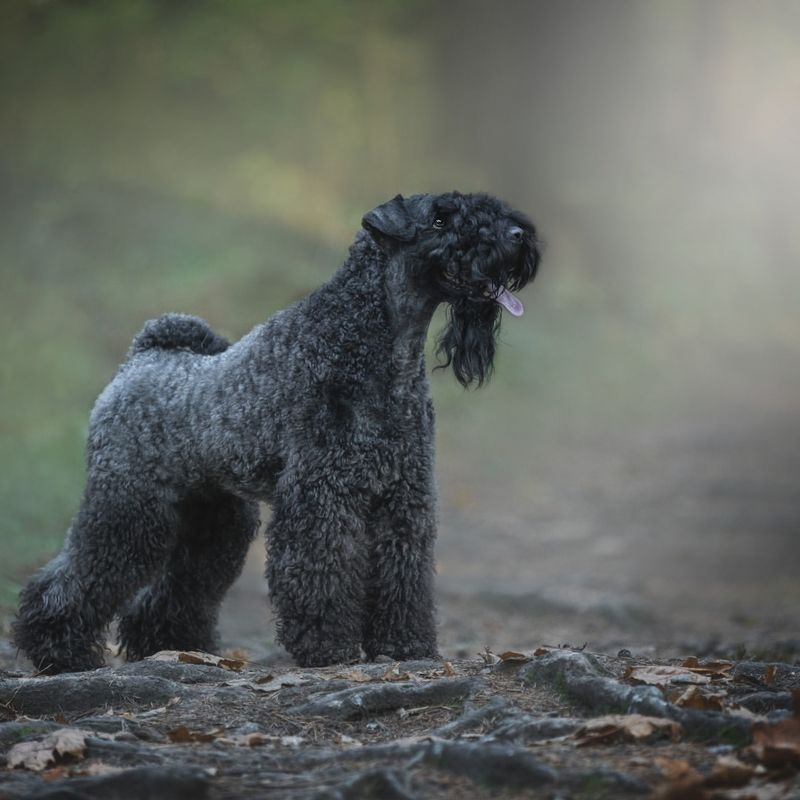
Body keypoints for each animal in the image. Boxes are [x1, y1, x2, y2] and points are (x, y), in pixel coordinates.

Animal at [12, 191, 540, 672]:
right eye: (440, 219)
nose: (518, 236)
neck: (374, 345)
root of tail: (142, 357)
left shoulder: (403, 494)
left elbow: (402, 572)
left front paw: (404, 644)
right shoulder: (322, 492)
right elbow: (322, 568)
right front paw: (328, 647)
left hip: (215, 521)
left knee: (178, 587)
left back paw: (172, 646)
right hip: (127, 508)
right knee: (76, 575)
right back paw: (60, 650)